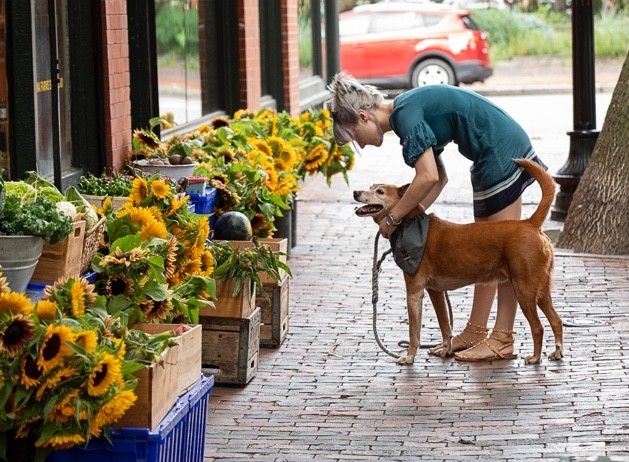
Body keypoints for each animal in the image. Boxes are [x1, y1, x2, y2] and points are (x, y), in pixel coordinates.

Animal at [354, 159, 564, 364]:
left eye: (379, 191)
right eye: (370, 187)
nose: (356, 192)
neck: (411, 223)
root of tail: (530, 223)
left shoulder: (414, 292)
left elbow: (414, 332)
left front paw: (409, 356)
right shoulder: (436, 291)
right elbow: (445, 326)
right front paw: (446, 350)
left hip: (524, 289)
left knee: (538, 327)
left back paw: (535, 357)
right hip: (541, 290)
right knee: (556, 320)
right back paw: (557, 352)